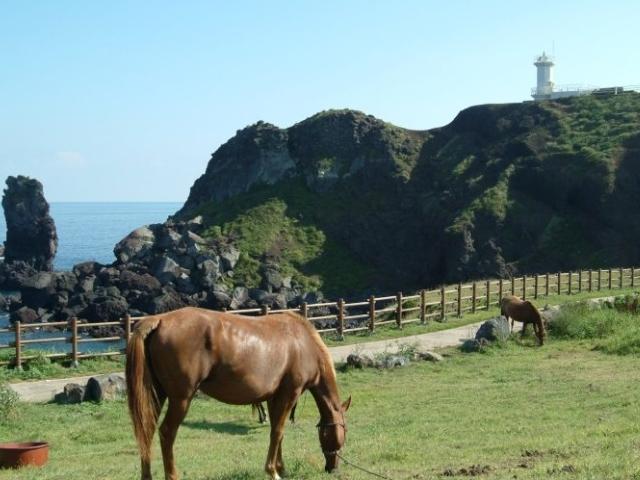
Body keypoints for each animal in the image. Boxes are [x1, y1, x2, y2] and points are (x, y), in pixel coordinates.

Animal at [127, 306, 352, 478]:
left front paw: (281, 468)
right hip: (181, 399)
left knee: (147, 431)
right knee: (166, 433)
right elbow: (278, 431)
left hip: (157, 395)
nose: (333, 468)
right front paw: (273, 471)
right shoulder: (289, 394)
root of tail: (160, 320)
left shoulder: (274, 398)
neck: (302, 342)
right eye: (344, 431)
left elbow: (276, 432)